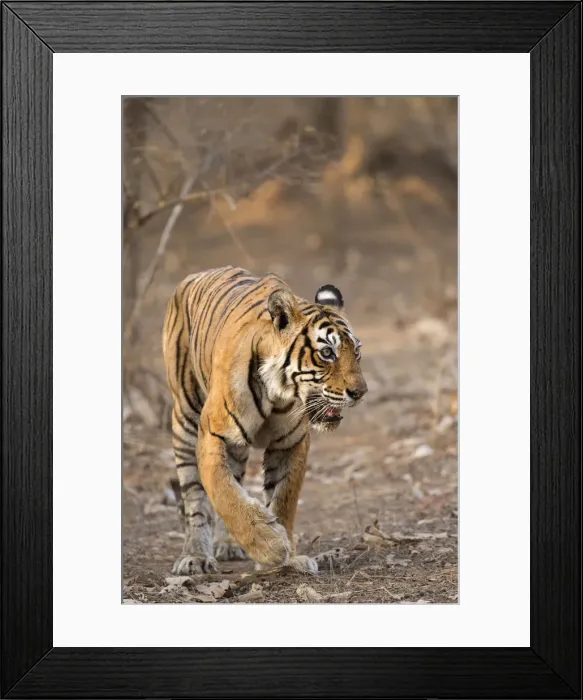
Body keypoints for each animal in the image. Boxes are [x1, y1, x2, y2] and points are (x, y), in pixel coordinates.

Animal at [162, 266, 367, 575]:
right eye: (327, 353)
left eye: (355, 352)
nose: (360, 392)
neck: (278, 393)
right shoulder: (213, 434)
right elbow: (223, 493)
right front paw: (270, 546)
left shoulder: (290, 443)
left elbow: (283, 499)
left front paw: (289, 555)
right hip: (185, 418)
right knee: (196, 498)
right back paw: (196, 556)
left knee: (236, 479)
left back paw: (229, 545)